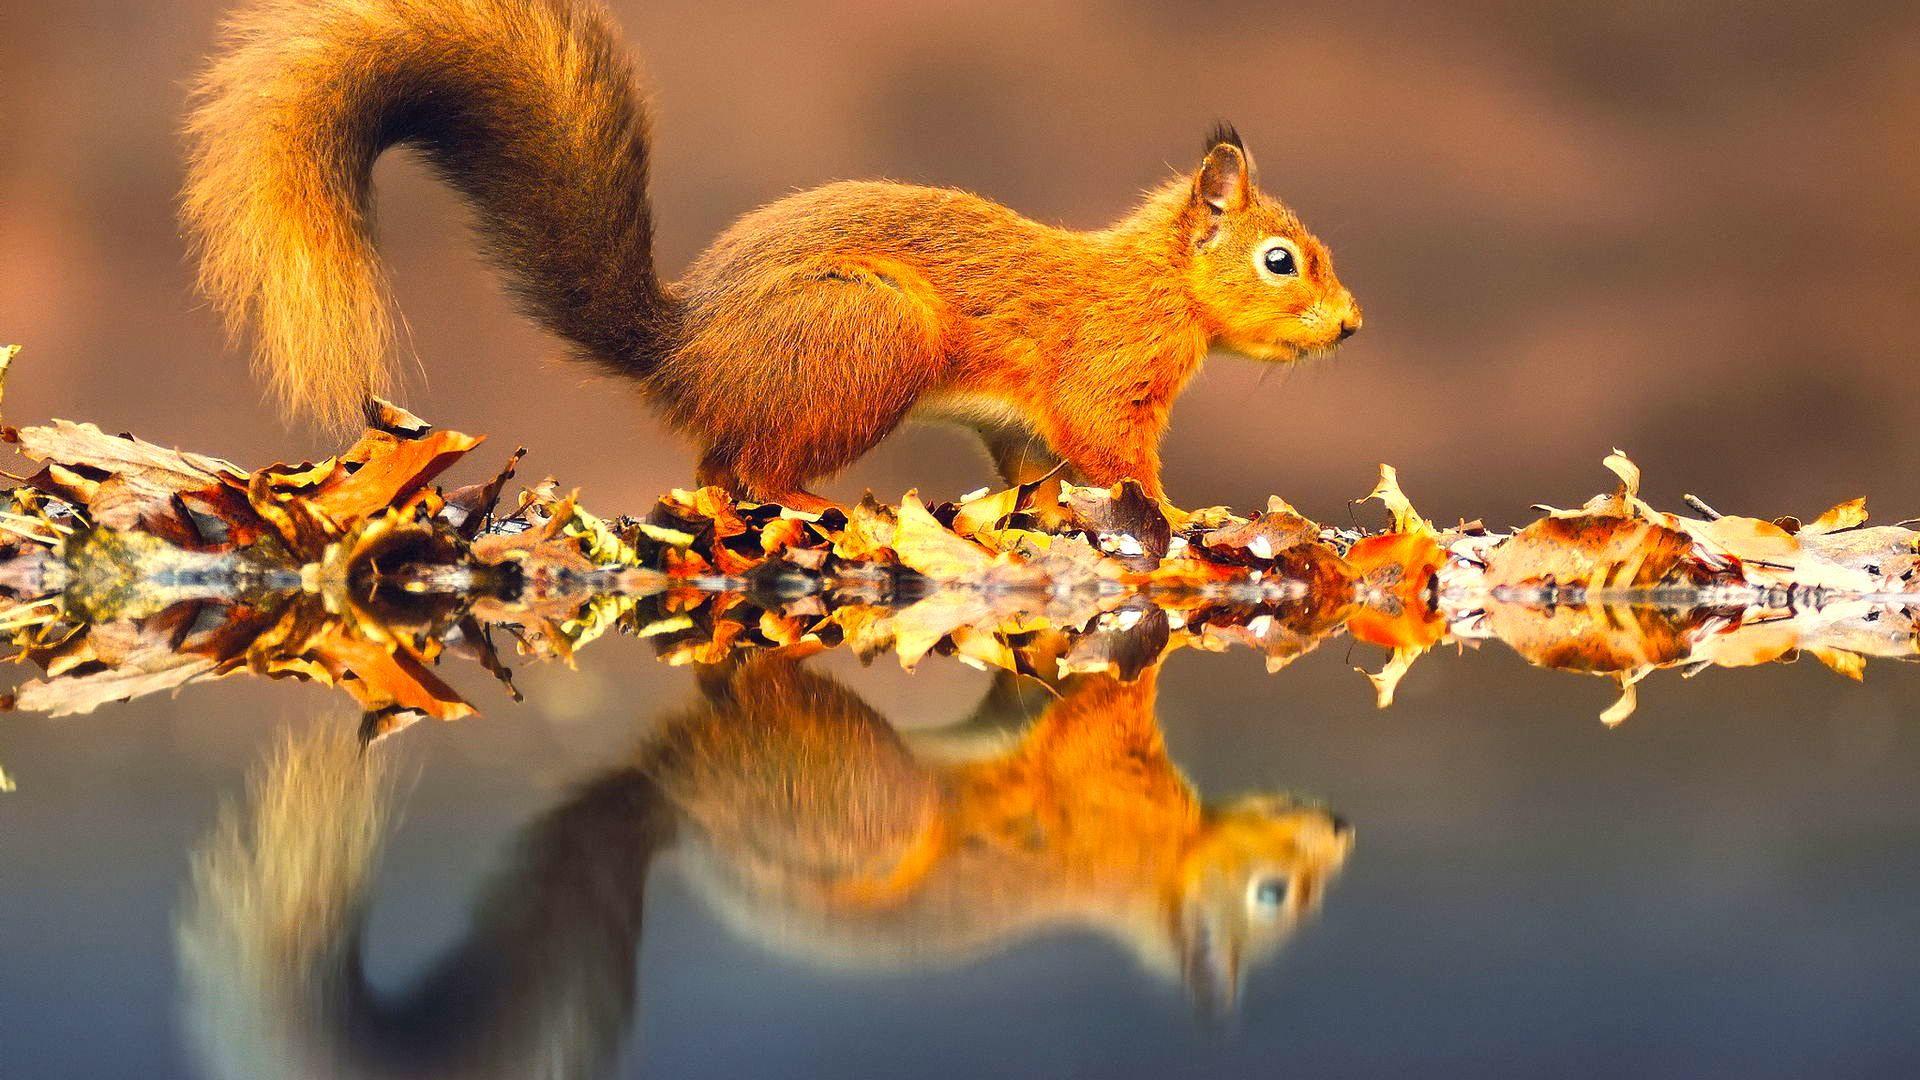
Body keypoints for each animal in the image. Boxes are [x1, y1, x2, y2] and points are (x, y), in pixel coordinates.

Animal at [183, 0, 1361, 510]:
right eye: (1280, 261)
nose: (1351, 326)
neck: (1159, 283)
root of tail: (686, 352)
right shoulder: (1107, 372)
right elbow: (1114, 451)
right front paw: (1184, 516)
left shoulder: (1020, 425)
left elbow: (1035, 465)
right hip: (868, 339)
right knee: (755, 467)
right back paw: (810, 508)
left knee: (718, 467)